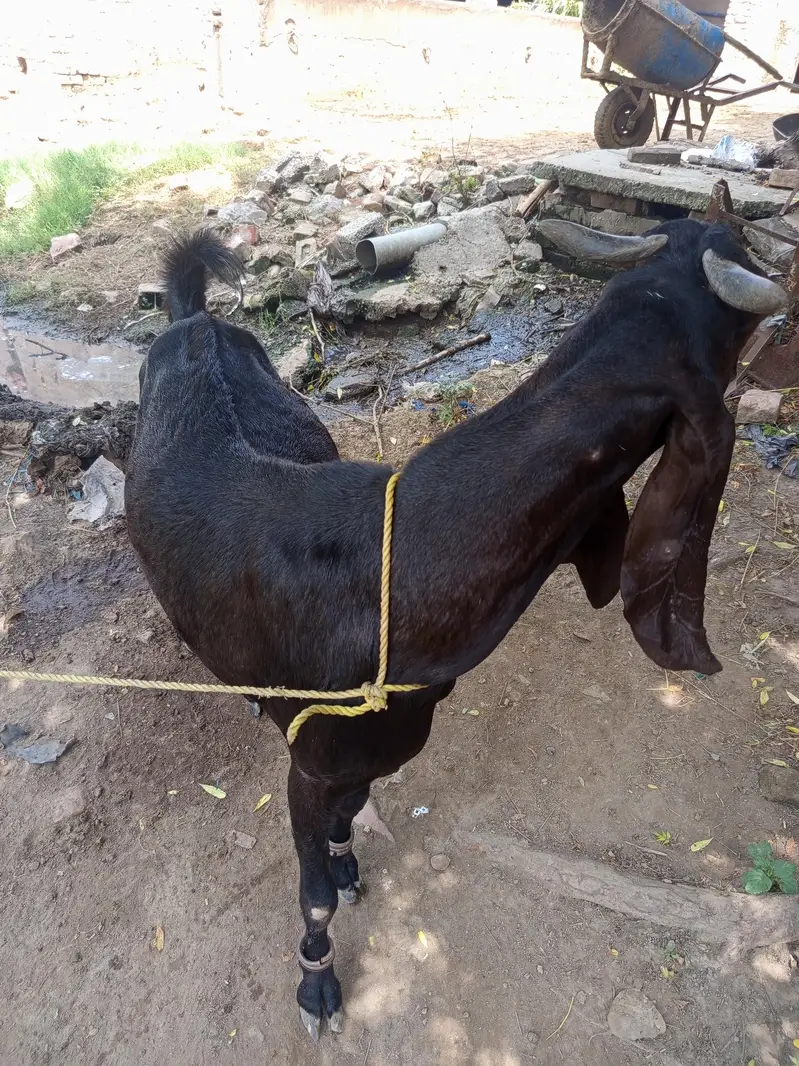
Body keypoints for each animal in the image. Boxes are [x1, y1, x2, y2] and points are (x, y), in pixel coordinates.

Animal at [125, 219, 786, 1039]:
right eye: (729, 330)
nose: (726, 229)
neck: (394, 570)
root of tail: (194, 320)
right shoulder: (311, 760)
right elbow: (314, 892)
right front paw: (317, 985)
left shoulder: (375, 748)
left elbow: (350, 815)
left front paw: (345, 858)